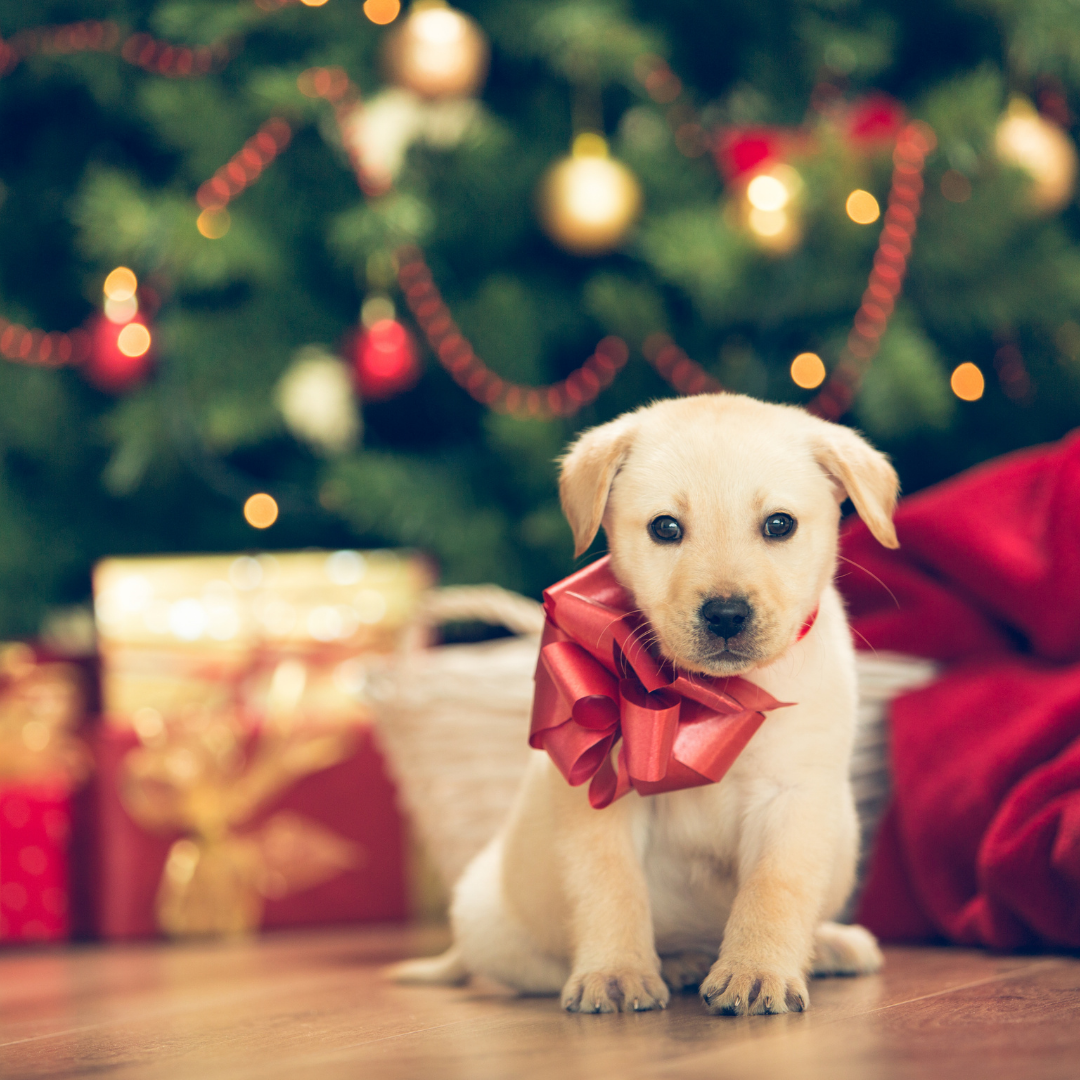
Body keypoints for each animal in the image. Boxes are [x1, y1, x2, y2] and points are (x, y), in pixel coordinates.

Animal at [393, 393, 898, 1015]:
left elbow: (774, 891)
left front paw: (757, 969)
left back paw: (827, 945)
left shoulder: (793, 798)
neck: (710, 694)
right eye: (666, 528)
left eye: (779, 525)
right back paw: (676, 962)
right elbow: (611, 887)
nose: (726, 615)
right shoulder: (601, 796)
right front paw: (616, 971)